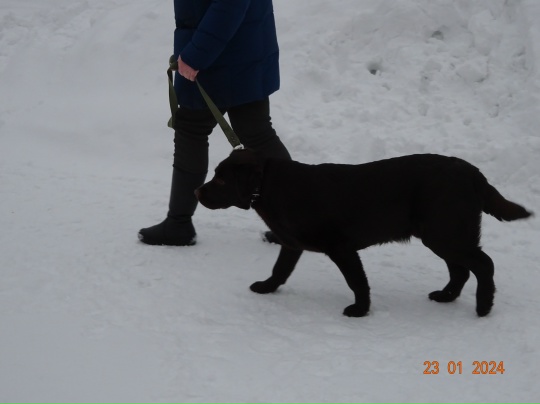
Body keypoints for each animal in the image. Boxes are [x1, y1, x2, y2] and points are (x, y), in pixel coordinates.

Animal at [195, 149, 532, 317]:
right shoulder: (292, 244)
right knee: (461, 270)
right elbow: (280, 270)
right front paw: (267, 288)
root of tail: (474, 173)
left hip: (445, 233)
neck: (266, 186)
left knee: (483, 264)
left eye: (221, 180)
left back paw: (483, 306)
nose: (198, 192)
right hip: (443, 234)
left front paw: (360, 310)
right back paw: (445, 296)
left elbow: (357, 281)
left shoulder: (341, 248)